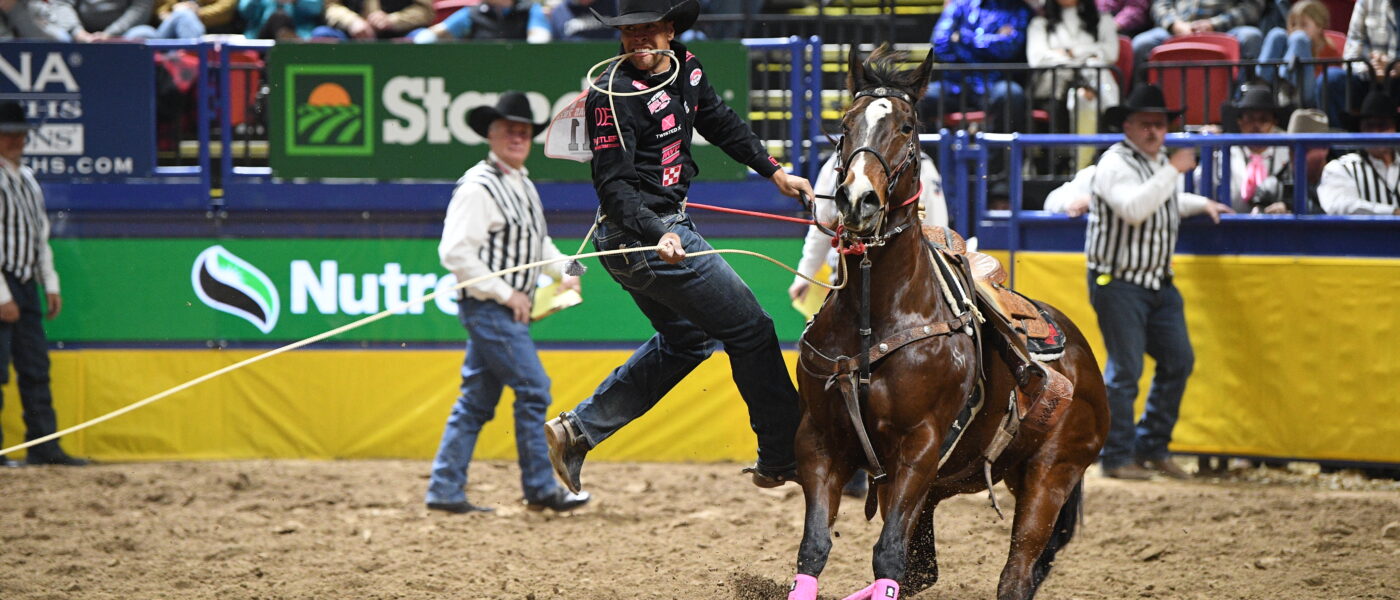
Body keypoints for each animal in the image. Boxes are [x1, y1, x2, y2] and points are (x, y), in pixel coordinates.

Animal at [789, 46, 1103, 598]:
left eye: (908, 126)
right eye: (845, 124)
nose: (858, 199)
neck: (877, 314)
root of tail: (1085, 359)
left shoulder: (919, 447)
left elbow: (888, 556)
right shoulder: (822, 442)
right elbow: (815, 548)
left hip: (1051, 474)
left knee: (1015, 575)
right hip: (944, 484)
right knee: (927, 571)